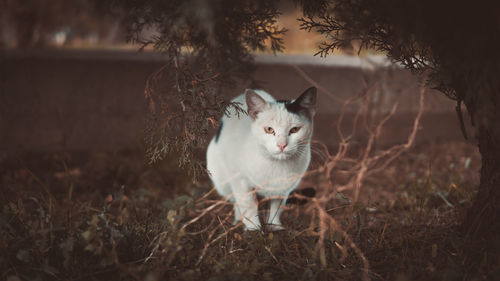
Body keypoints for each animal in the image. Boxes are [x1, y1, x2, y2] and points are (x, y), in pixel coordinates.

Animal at [206, 87, 316, 230]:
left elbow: (276, 208)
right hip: (222, 181)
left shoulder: (282, 189)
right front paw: (254, 229)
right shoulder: (240, 179)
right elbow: (249, 205)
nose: (282, 145)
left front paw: (274, 227)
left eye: (295, 129)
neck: (276, 165)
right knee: (235, 201)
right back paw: (237, 222)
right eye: (269, 129)